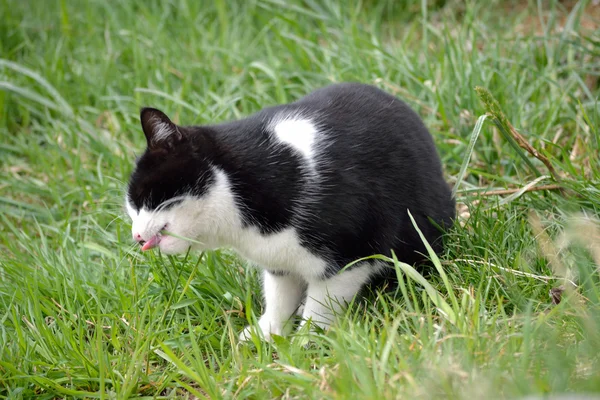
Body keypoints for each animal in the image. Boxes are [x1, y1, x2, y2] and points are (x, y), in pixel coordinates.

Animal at [126, 83, 454, 340]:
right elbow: (279, 295)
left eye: (144, 197)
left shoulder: (351, 253)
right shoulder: (278, 259)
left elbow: (322, 303)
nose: (136, 235)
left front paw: (308, 343)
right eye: (131, 206)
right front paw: (267, 334)